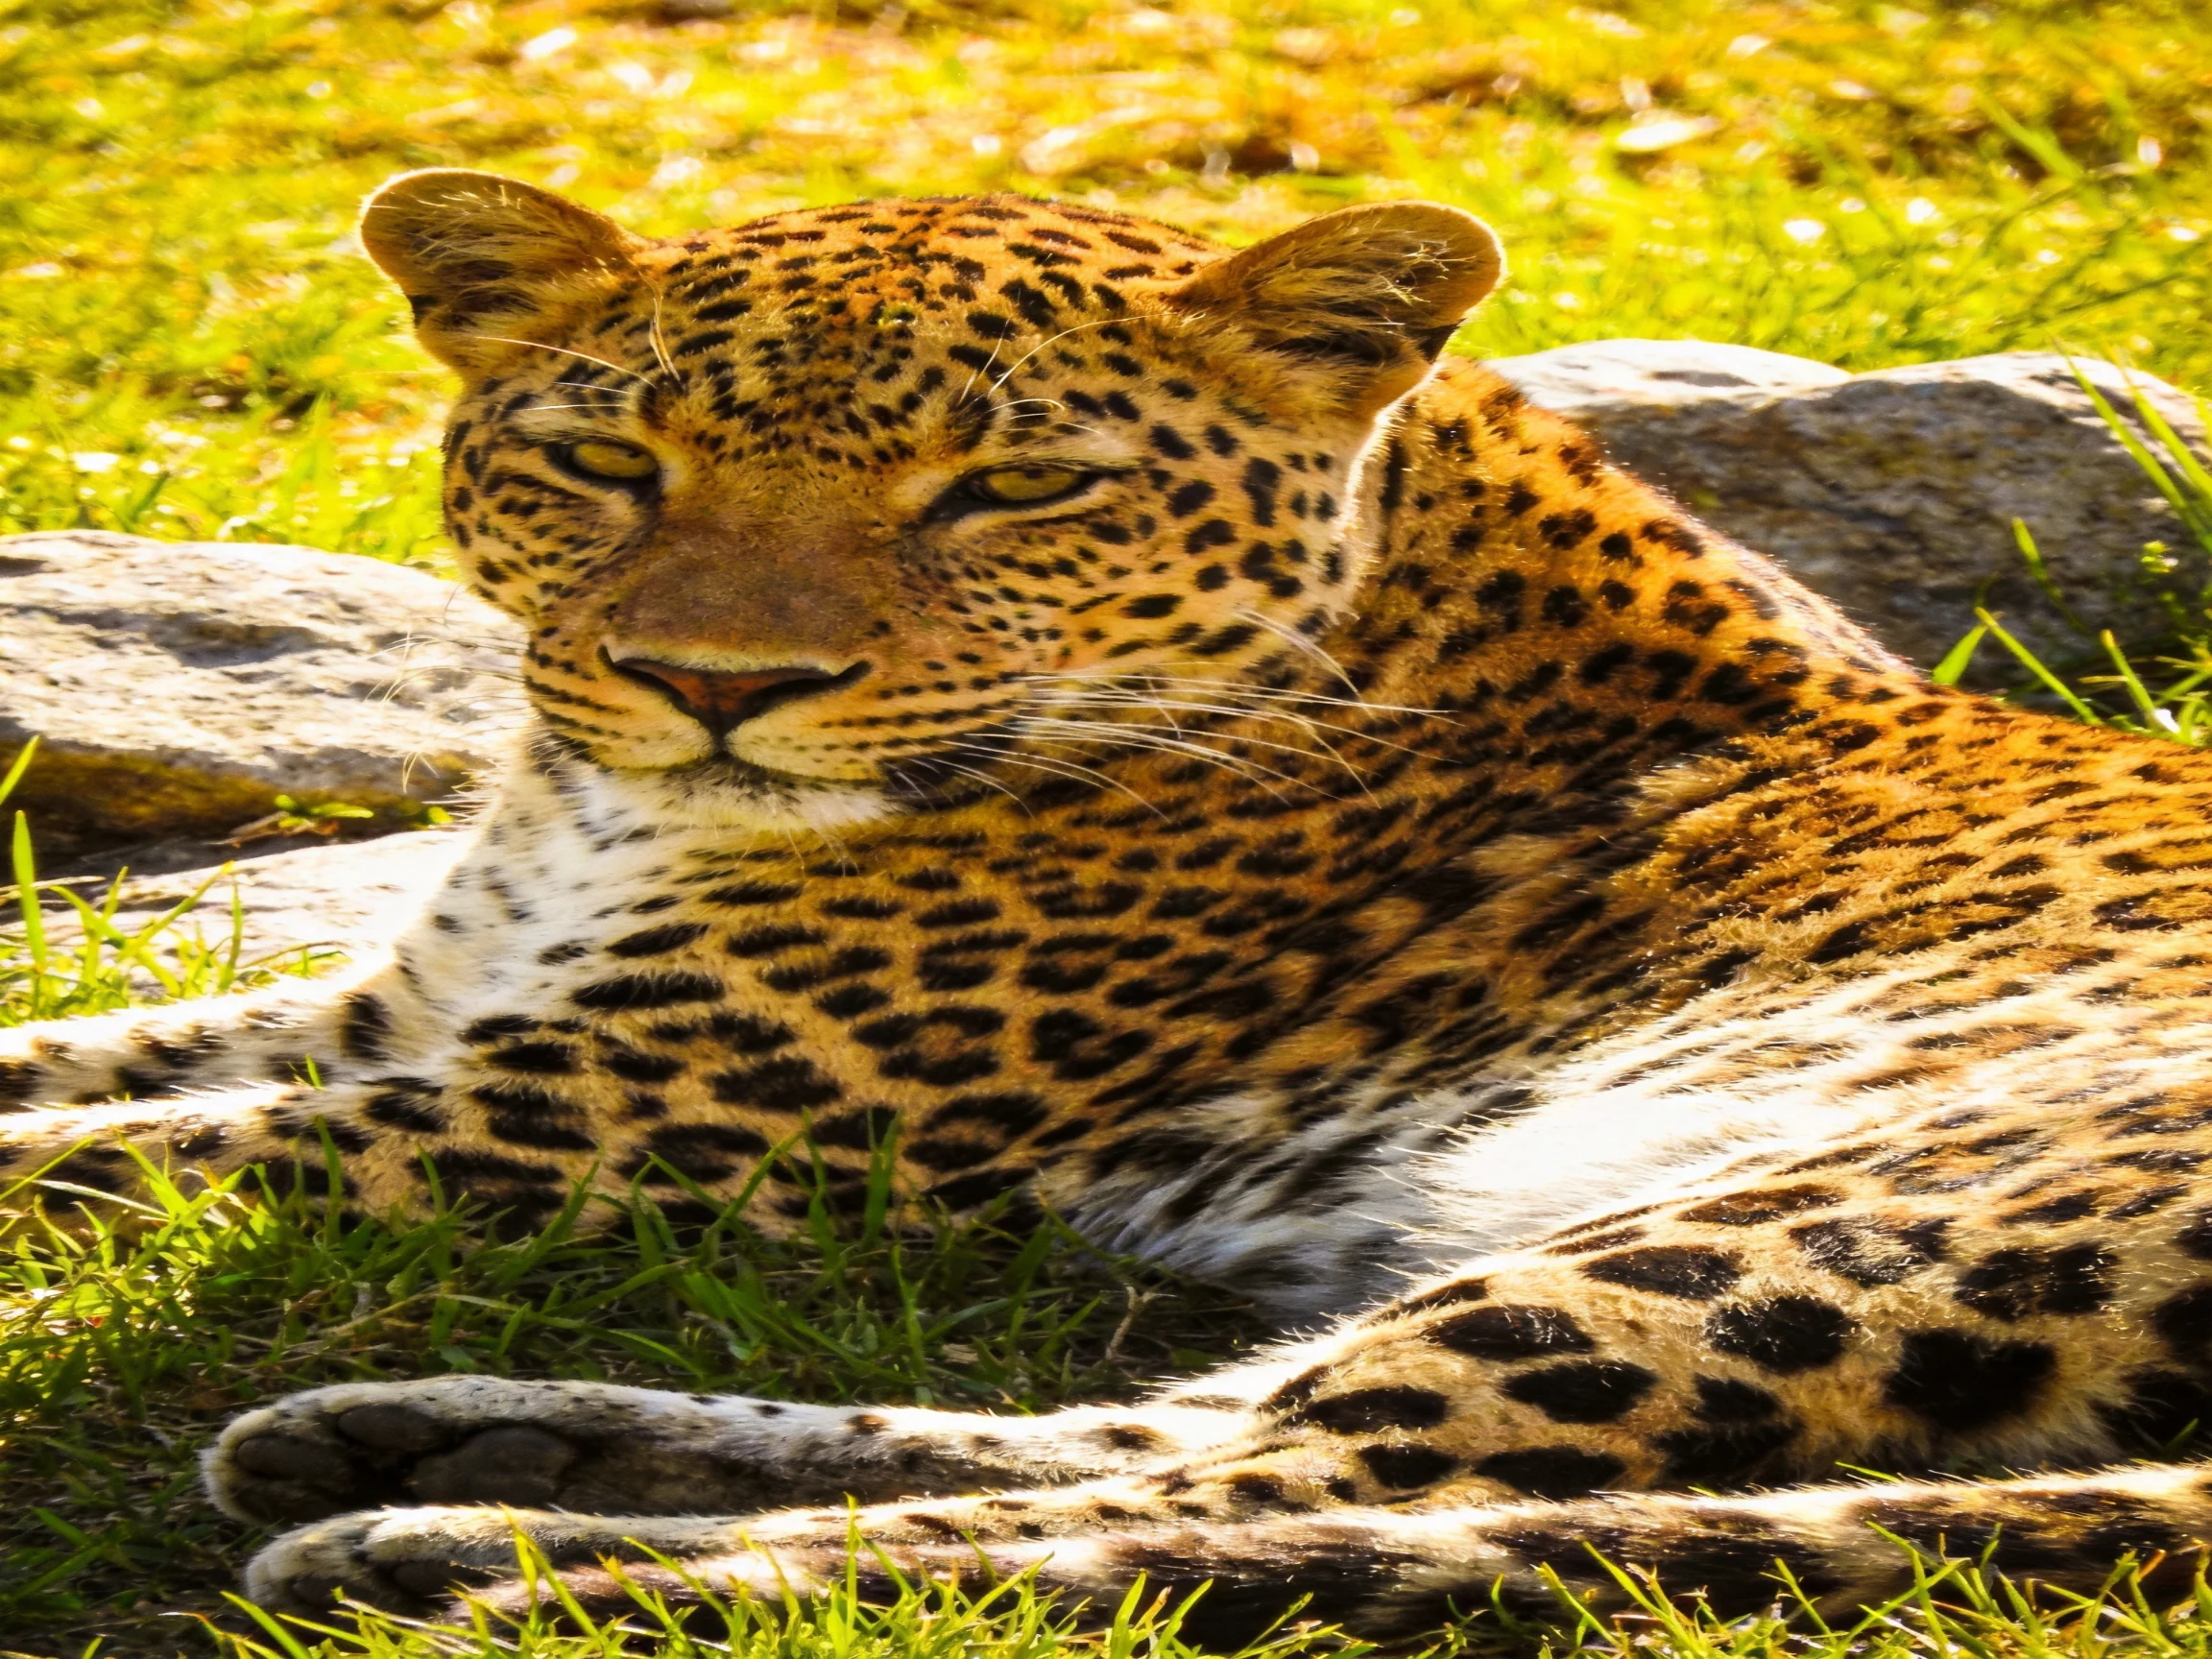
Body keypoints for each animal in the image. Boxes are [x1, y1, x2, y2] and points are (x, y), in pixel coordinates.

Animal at [8, 168, 2212, 1638]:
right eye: (608, 460)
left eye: (1013, 489)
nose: (716, 687)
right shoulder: (402, 1011)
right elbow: (60, 1072)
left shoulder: (603, 1108)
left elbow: (78, 1167)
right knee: (1168, 1433)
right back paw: (439, 1468)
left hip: (1839, 1221)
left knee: (1231, 1502)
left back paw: (535, 1581)